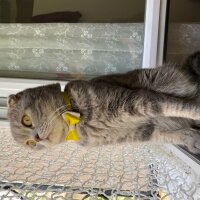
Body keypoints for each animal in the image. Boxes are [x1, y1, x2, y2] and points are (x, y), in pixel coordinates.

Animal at [7, 51, 200, 153]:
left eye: (26, 120)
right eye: (30, 144)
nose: (36, 139)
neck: (77, 123)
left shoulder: (138, 101)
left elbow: (179, 107)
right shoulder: (143, 131)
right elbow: (176, 133)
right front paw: (193, 139)